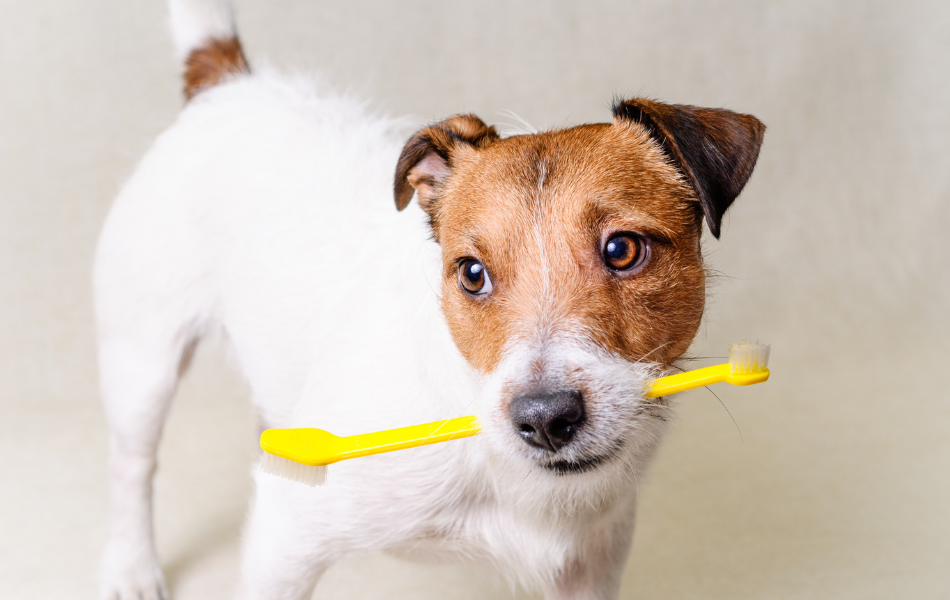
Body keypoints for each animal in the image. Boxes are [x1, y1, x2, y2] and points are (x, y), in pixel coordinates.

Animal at [96, 2, 768, 596]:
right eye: (471, 273)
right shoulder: (285, 537)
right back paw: (131, 569)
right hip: (143, 365)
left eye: (623, 250)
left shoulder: (591, 564)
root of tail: (231, 84)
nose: (545, 418)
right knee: (132, 468)